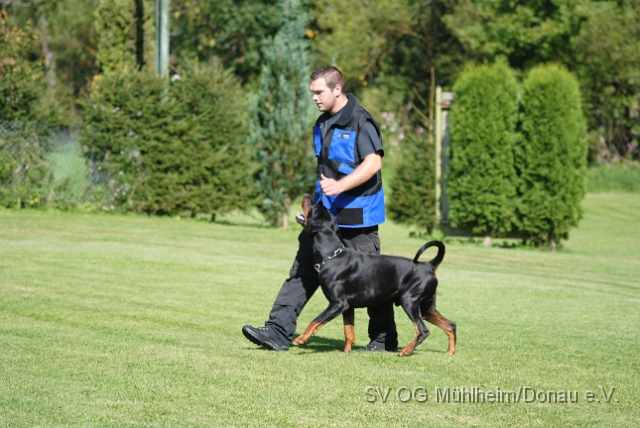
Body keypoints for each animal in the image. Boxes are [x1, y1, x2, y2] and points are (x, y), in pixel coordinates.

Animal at [292, 193, 458, 354]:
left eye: (314, 207)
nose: (307, 195)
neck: (332, 255)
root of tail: (429, 265)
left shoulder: (337, 304)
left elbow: (315, 320)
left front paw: (300, 339)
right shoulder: (347, 306)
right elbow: (349, 331)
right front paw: (346, 352)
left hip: (409, 301)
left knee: (423, 330)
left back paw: (406, 351)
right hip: (426, 307)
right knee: (450, 325)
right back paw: (449, 352)